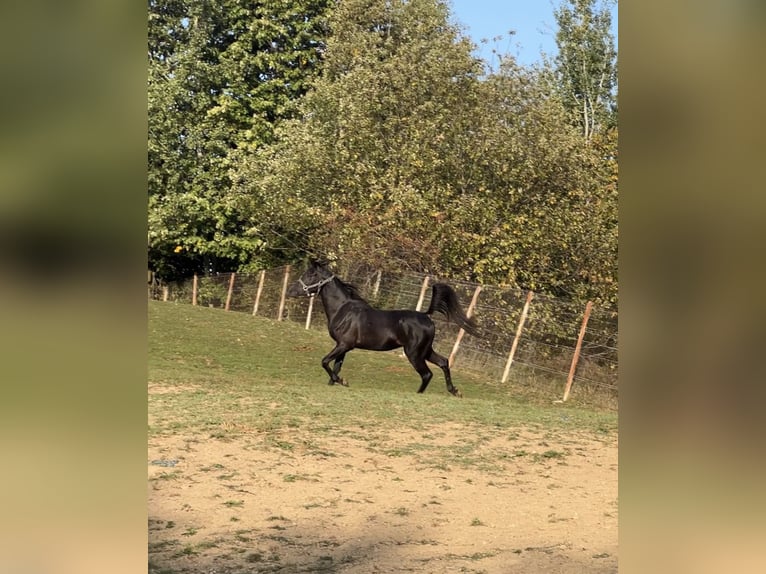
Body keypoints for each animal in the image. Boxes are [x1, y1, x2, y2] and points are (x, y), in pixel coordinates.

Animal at [288, 264, 480, 398]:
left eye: (311, 274)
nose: (290, 291)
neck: (343, 309)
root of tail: (426, 316)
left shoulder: (344, 345)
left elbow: (325, 362)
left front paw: (344, 381)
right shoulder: (343, 347)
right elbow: (335, 367)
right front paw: (337, 383)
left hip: (414, 353)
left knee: (427, 374)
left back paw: (419, 394)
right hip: (425, 351)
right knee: (443, 362)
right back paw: (455, 391)